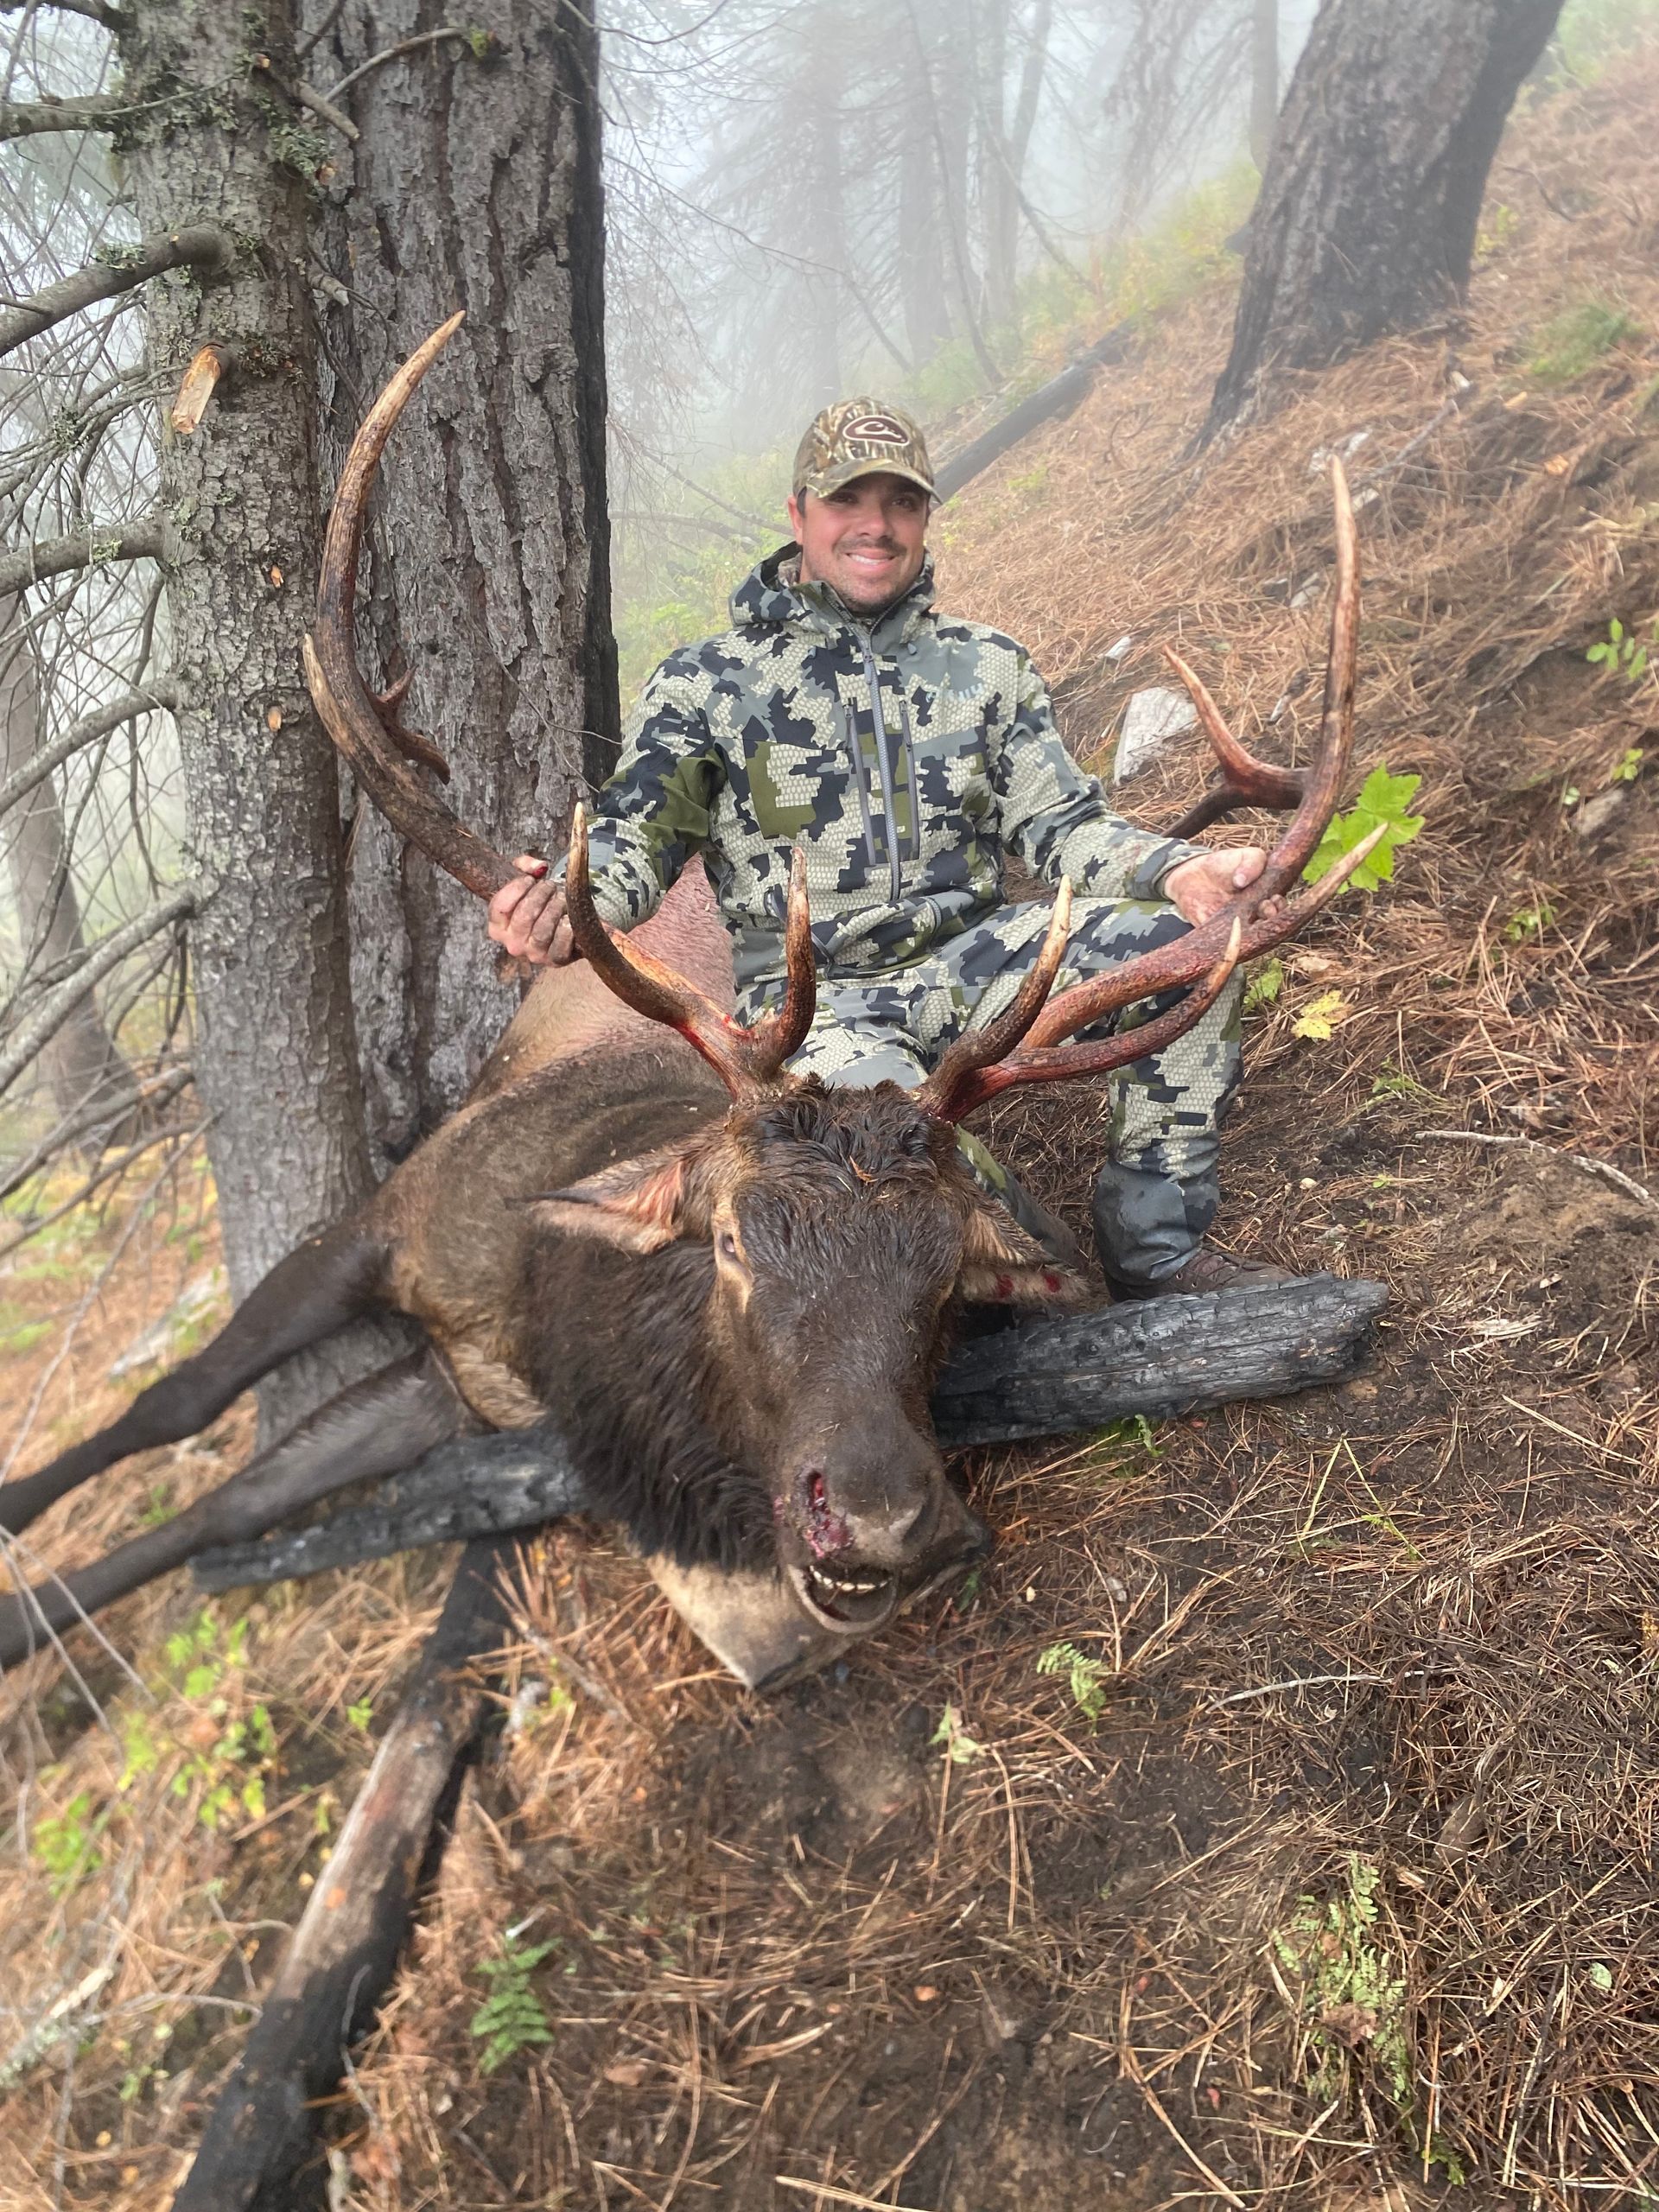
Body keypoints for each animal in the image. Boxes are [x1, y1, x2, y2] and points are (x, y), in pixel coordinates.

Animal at [0, 319, 1379, 1678]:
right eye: (728, 1242)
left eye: (949, 1280)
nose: (881, 1517)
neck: (557, 1331)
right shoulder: (398, 1215)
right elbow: (183, 1416)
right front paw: (27, 1555)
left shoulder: (445, 1382)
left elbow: (228, 1500)